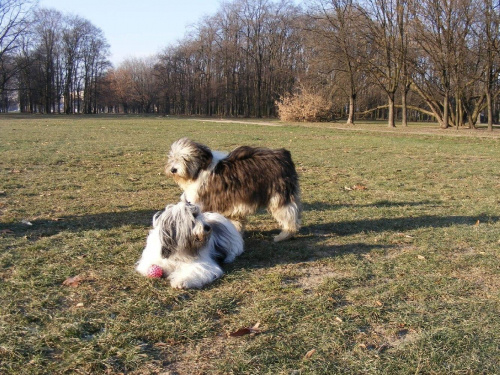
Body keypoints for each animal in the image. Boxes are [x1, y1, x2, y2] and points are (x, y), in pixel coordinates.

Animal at [166, 140, 302, 242]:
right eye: (173, 158)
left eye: (185, 158)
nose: (173, 169)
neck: (199, 170)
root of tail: (283, 154)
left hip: (278, 195)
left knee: (289, 214)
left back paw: (284, 235)